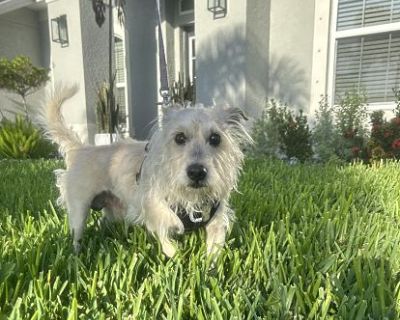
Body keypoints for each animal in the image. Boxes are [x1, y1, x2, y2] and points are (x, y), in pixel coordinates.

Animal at [38, 86, 250, 258]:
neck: (191, 198)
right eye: (179, 138)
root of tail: (81, 149)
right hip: (78, 210)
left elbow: (214, 255)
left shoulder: (217, 223)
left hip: (112, 210)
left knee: (102, 223)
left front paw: (208, 273)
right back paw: (75, 255)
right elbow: (168, 246)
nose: (197, 172)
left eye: (215, 138)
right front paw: (178, 263)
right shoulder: (156, 216)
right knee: (77, 234)